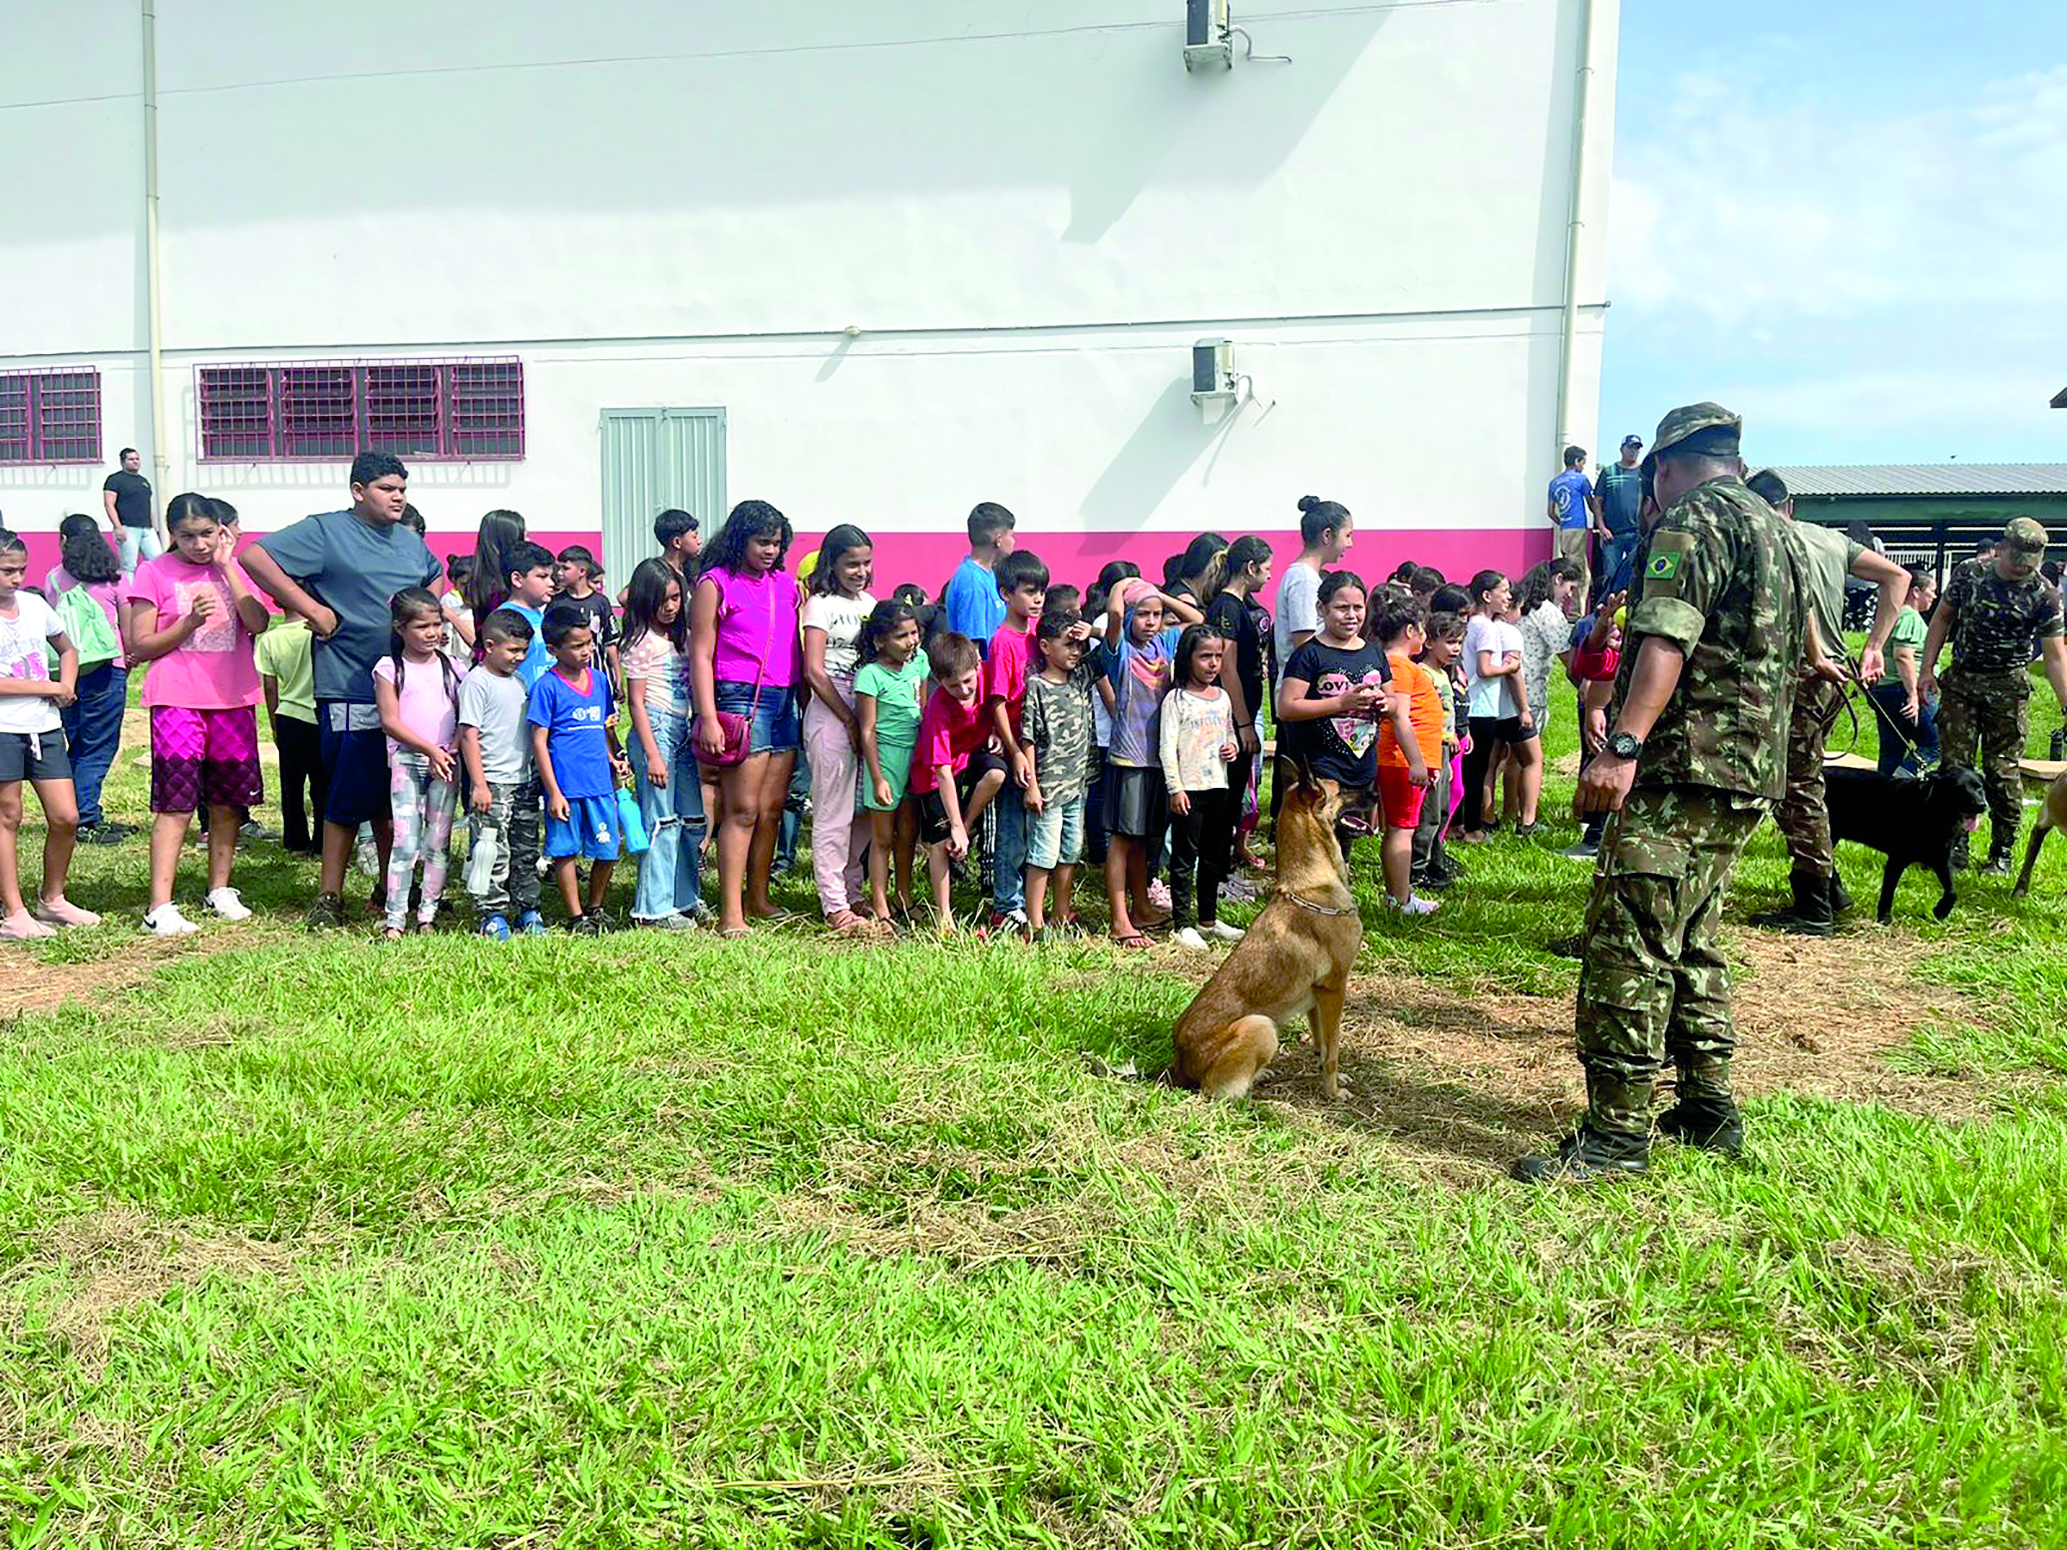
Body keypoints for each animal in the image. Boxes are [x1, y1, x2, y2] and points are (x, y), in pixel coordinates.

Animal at [1174, 768, 1364, 1107]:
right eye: (1340, 789)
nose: (1373, 790)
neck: (1309, 885)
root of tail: (1179, 1065)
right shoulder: (1335, 988)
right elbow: (1333, 1049)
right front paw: (1331, 1091)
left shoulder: (1317, 996)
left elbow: (1323, 1044)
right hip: (1262, 1025)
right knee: (1216, 1092)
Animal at [1835, 764, 1992, 921]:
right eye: (1960, 789)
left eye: (1979, 787)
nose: (1982, 805)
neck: (1933, 812)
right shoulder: (1897, 859)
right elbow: (1888, 892)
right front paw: (1885, 919)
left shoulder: (1941, 859)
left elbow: (1952, 891)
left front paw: (1940, 911)